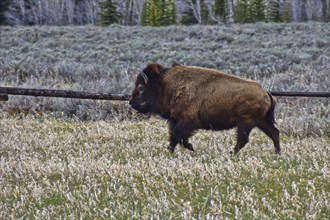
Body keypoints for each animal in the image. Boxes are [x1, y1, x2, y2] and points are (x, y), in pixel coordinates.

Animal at [129, 62, 282, 155]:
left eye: (141, 88)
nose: (131, 102)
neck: (166, 84)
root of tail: (266, 92)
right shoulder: (175, 120)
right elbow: (175, 136)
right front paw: (177, 150)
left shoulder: (188, 120)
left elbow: (177, 135)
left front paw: (183, 149)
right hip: (261, 121)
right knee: (274, 133)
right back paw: (277, 153)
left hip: (246, 122)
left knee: (243, 139)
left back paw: (231, 154)